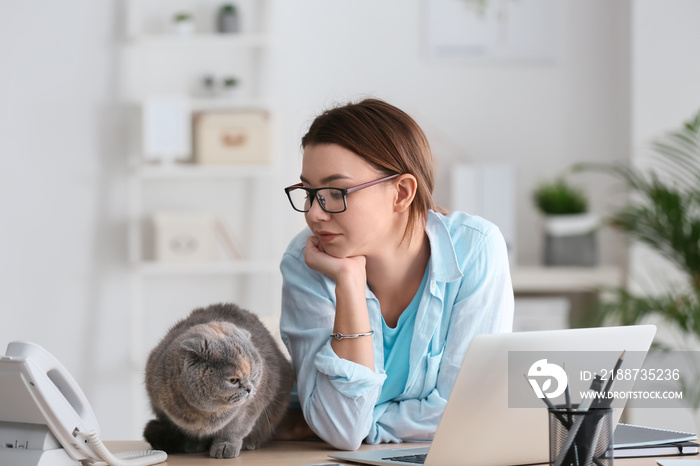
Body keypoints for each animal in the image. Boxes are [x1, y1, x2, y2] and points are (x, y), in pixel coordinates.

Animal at [144, 302, 294, 458]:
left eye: (254, 375)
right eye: (233, 380)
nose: (249, 388)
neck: (205, 413)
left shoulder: (251, 407)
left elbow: (235, 429)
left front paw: (225, 447)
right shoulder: (162, 409)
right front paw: (193, 443)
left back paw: (249, 443)